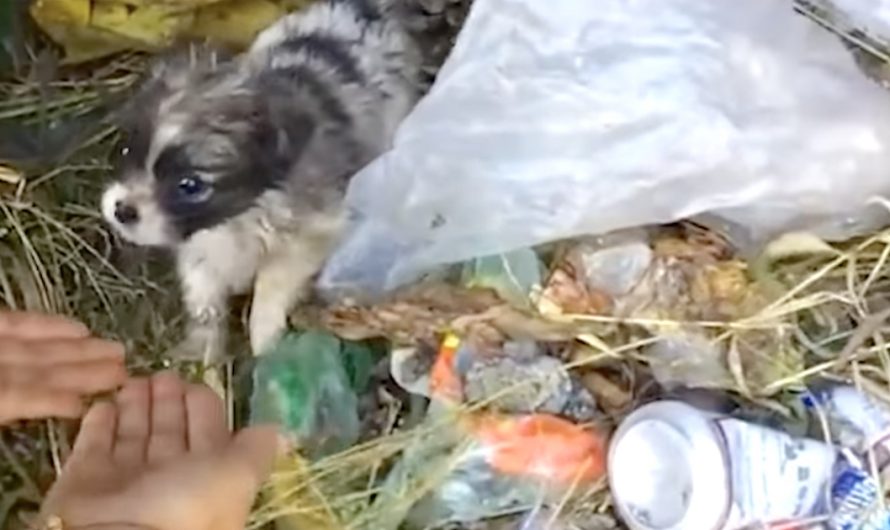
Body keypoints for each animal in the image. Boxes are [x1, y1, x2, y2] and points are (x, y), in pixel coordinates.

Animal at [104, 0, 424, 360]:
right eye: (127, 150)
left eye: (189, 185)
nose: (122, 211)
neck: (242, 214)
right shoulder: (200, 249)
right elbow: (204, 300)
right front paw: (205, 350)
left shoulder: (312, 235)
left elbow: (271, 287)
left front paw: (265, 340)